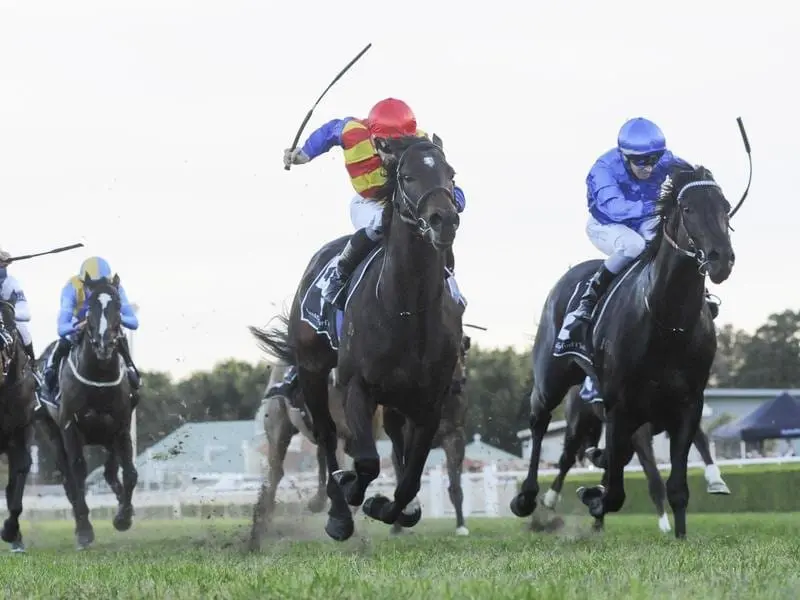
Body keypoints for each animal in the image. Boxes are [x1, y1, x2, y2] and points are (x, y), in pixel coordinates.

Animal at [36, 276, 138, 548]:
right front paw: (84, 529)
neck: (99, 376)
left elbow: (130, 473)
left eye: (117, 304)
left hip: (107, 438)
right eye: (89, 306)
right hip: (52, 432)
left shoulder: (122, 426)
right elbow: (78, 473)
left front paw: (123, 517)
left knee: (110, 472)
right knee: (68, 478)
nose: (104, 344)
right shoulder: (69, 427)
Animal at [250, 136, 462, 544]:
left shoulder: (429, 404)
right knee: (322, 442)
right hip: (310, 376)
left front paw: (391, 508)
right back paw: (330, 512)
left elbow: (408, 479)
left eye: (451, 174)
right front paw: (348, 498)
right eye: (407, 176)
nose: (445, 219)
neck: (407, 309)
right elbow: (364, 462)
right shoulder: (355, 387)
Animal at [536, 382, 732, 532]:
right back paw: (551, 498)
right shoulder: (640, 432)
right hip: (579, 421)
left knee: (611, 461)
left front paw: (716, 482)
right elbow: (654, 478)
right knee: (566, 460)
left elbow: (703, 444)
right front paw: (665, 525)